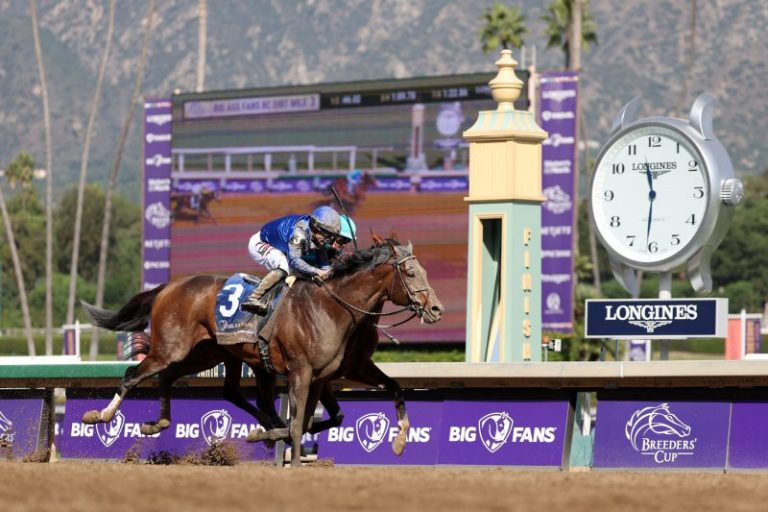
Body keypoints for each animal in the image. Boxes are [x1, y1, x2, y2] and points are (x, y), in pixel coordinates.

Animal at [80, 237, 444, 466]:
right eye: (411, 272)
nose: (436, 309)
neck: (332, 309)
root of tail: (169, 286)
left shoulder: (332, 373)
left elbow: (383, 393)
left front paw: (399, 441)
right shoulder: (302, 372)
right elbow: (299, 423)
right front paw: (283, 451)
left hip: (207, 354)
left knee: (187, 383)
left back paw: (159, 423)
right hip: (173, 349)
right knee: (133, 375)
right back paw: (101, 415)